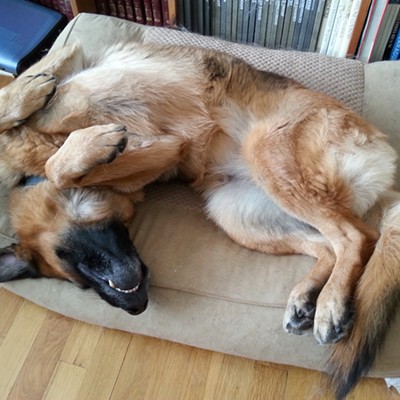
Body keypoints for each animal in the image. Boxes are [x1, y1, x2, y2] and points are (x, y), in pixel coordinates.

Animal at [0, 42, 400, 398]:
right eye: (80, 283)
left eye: (78, 257)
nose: (135, 309)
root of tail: (389, 176)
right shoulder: (162, 151)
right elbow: (61, 163)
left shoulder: (130, 128)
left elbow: (49, 151)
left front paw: (32, 94)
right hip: (234, 212)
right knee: (328, 245)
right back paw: (306, 297)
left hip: (267, 152)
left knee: (356, 236)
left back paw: (331, 304)